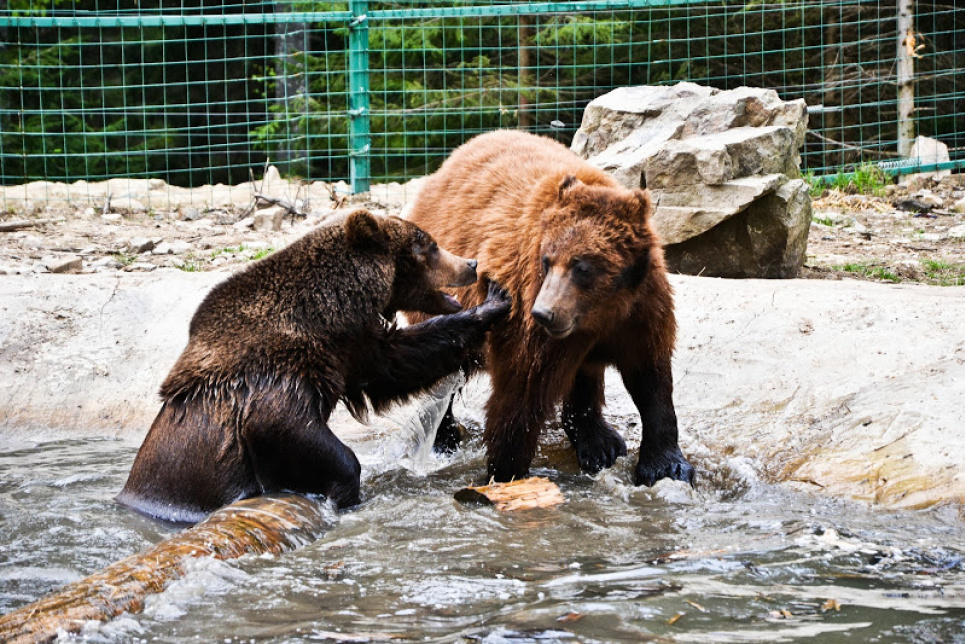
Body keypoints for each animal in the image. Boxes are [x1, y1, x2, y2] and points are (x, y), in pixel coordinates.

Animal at [116, 211, 512, 524]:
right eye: (427, 244)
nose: (471, 264)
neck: (328, 318)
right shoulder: (278, 368)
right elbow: (283, 424)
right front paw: (343, 486)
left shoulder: (353, 351)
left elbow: (400, 362)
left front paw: (491, 306)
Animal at [406, 130, 692, 488]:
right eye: (547, 260)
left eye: (582, 266)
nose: (544, 313)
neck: (601, 312)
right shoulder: (532, 321)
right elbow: (521, 396)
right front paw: (506, 470)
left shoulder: (640, 312)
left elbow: (651, 379)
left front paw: (666, 465)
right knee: (442, 366)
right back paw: (444, 438)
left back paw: (599, 443)